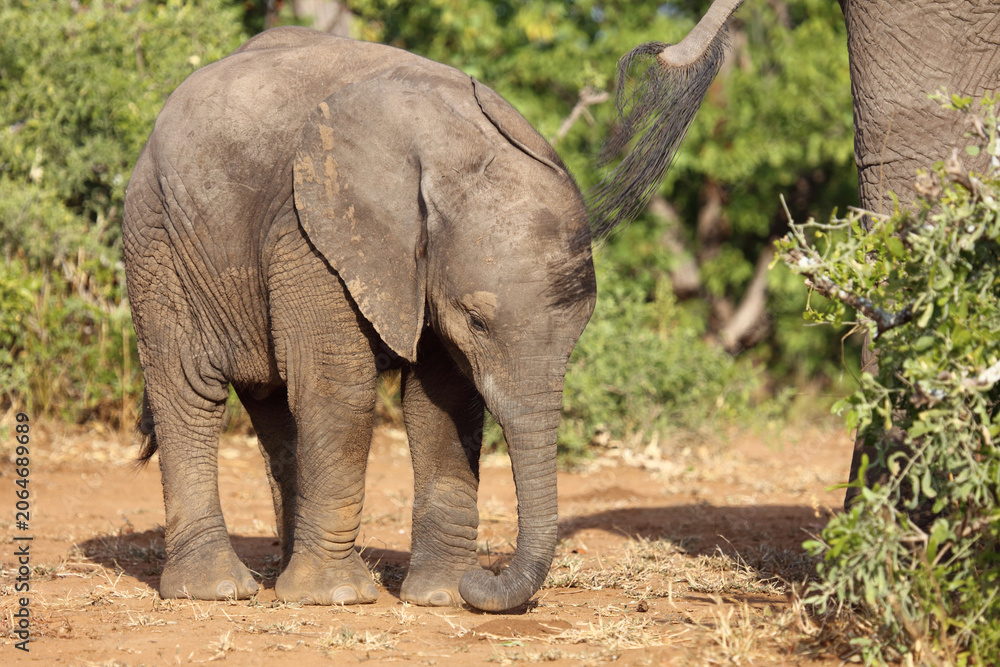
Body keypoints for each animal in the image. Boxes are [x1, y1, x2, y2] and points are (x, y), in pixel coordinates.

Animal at [123, 26, 596, 612]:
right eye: (477, 321)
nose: (482, 579)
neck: (454, 146)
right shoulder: (310, 232)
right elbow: (337, 386)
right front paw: (340, 597)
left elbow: (443, 401)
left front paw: (440, 597)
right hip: (158, 236)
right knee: (190, 389)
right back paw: (218, 590)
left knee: (275, 406)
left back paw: (284, 576)